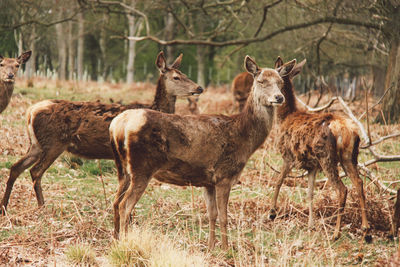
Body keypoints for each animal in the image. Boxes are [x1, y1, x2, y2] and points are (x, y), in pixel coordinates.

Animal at [0, 51, 203, 213]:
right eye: (176, 77)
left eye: (184, 74)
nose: (199, 88)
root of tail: (30, 111)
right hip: (54, 143)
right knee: (35, 171)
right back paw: (42, 207)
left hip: (36, 143)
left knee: (16, 167)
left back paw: (4, 206)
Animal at [108, 55, 300, 250]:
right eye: (261, 81)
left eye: (280, 82)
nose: (279, 97)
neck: (244, 138)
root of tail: (118, 125)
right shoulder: (225, 175)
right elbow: (224, 216)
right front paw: (225, 248)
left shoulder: (208, 181)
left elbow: (212, 214)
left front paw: (211, 246)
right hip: (142, 167)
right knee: (125, 205)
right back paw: (125, 243)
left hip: (123, 170)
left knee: (115, 202)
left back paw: (116, 240)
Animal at [268, 56, 372, 243]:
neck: (284, 118)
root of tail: (346, 131)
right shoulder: (312, 166)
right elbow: (310, 193)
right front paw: (311, 225)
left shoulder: (288, 156)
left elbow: (278, 181)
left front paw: (272, 213)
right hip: (349, 157)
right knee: (359, 183)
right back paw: (366, 230)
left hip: (326, 156)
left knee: (342, 189)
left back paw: (336, 233)